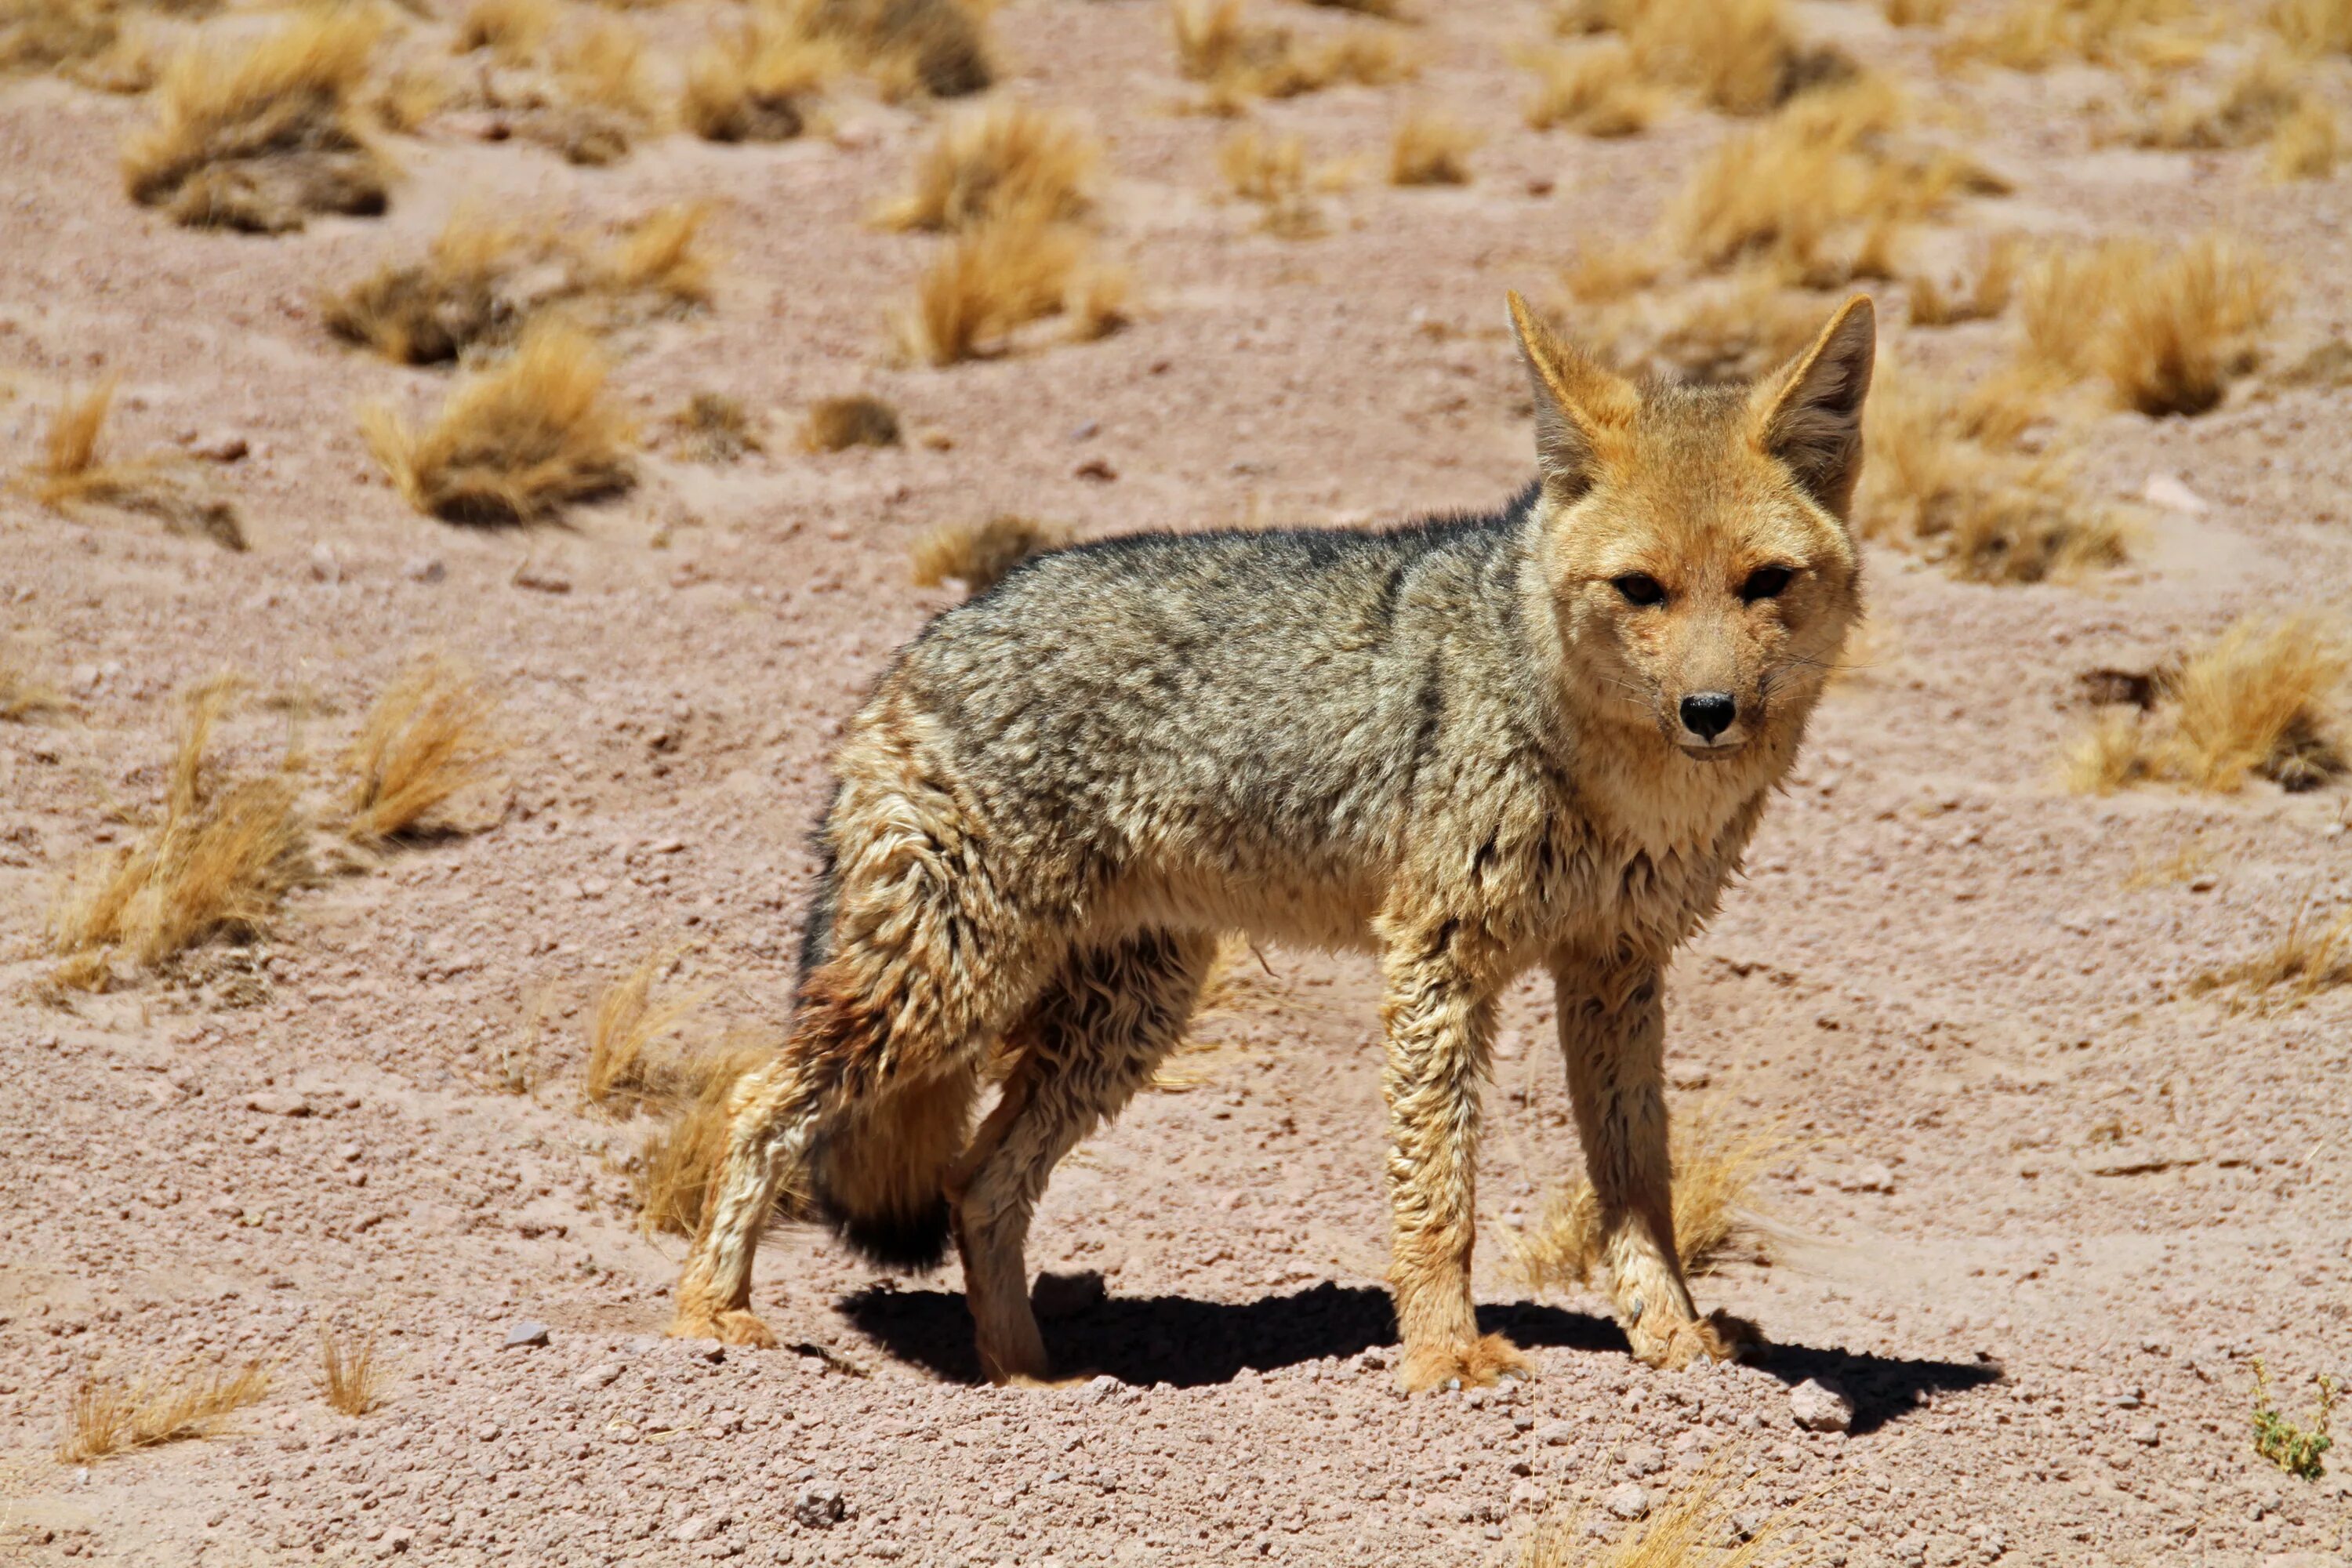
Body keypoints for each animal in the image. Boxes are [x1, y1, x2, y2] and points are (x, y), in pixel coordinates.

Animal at [668, 288, 1872, 1392]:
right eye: (1641, 590)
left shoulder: (1615, 965)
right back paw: (712, 1316)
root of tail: (922, 645)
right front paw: (1447, 1357)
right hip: (954, 984)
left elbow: (1638, 1183)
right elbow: (1439, 1187)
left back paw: (1032, 1378)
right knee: (758, 1098)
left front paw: (1673, 1340)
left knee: (979, 1183)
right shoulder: (1434, 956)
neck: (1624, 783)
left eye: (1766, 584)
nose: (1711, 711)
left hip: (1123, 1017)